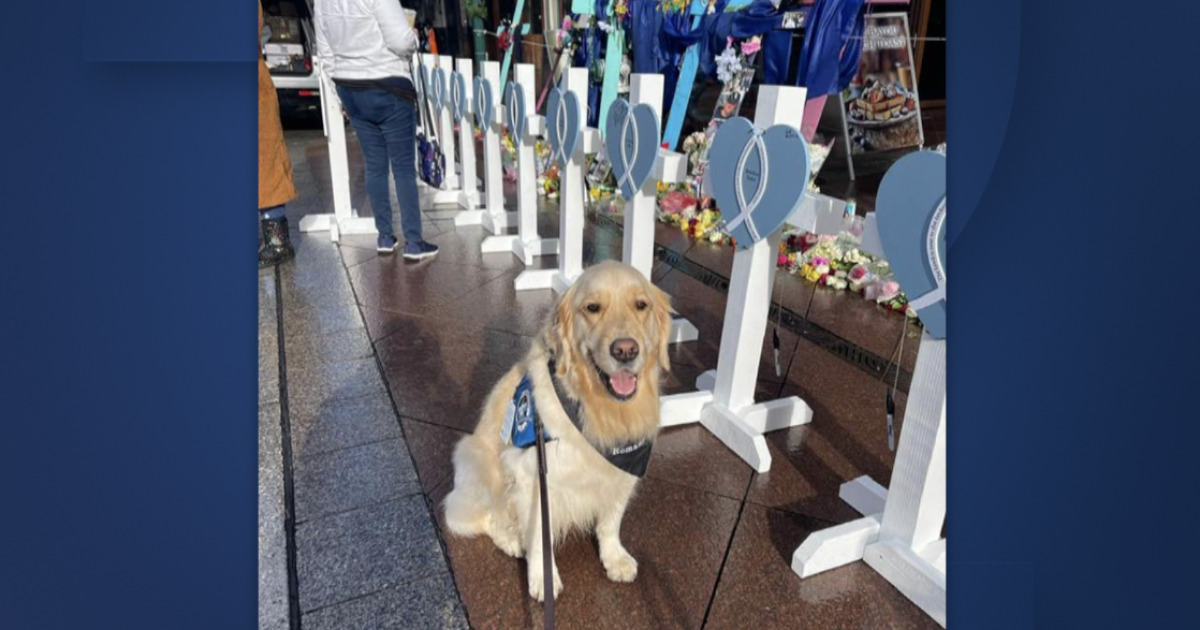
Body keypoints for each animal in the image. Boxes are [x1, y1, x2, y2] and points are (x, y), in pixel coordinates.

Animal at [444, 260, 676, 600]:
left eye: (641, 305)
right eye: (592, 308)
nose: (625, 350)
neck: (599, 411)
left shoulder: (623, 471)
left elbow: (611, 522)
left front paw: (615, 558)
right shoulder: (533, 477)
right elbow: (539, 537)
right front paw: (543, 577)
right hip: (477, 461)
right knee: (484, 517)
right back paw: (511, 539)